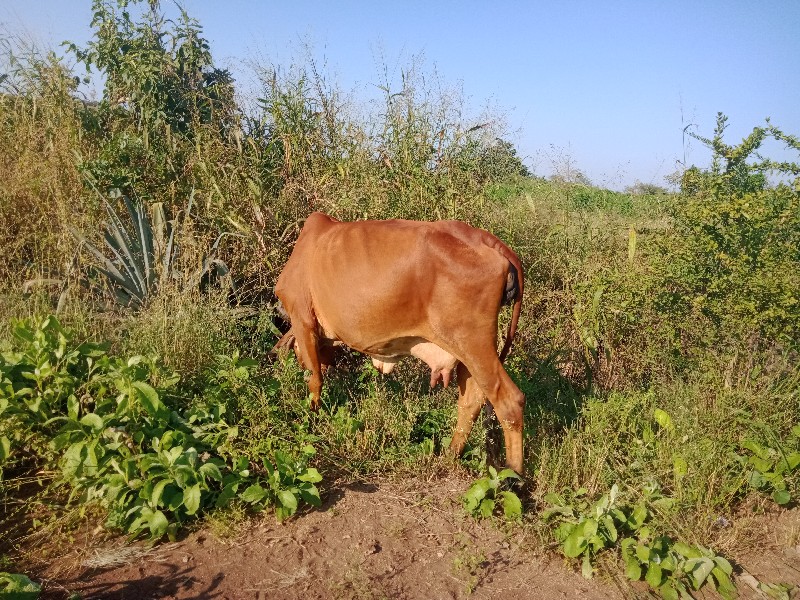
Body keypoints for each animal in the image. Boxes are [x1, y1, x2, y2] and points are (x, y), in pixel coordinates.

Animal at [274, 211, 524, 474]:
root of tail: (485, 238)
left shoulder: (303, 320)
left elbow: (314, 381)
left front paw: (310, 420)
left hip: (473, 344)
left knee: (509, 401)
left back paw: (513, 474)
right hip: (467, 351)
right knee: (471, 400)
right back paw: (450, 455)